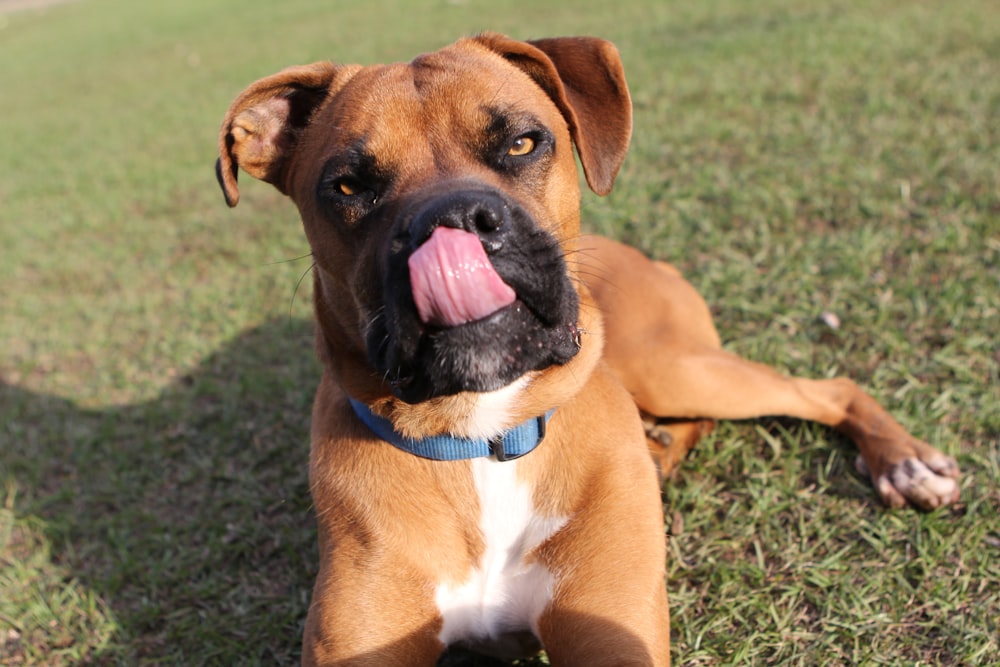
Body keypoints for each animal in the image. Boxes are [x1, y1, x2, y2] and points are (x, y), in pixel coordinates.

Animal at [217, 32, 960, 667]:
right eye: (347, 185)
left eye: (522, 142)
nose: (452, 219)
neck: (483, 436)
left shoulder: (610, 629)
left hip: (672, 367)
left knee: (827, 389)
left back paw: (905, 462)